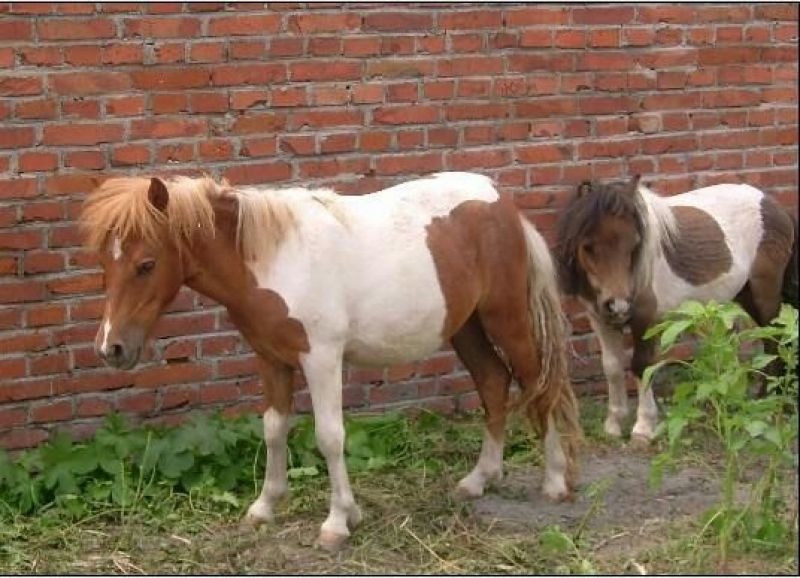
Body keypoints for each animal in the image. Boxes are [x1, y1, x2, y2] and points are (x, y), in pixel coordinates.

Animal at [81, 171, 581, 551]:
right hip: (466, 327)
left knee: (539, 386)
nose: (111, 349)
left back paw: (556, 482)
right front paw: (265, 507)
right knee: (493, 382)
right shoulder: (271, 359)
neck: (274, 259)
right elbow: (274, 429)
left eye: (146, 264)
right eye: (106, 263)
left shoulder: (320, 357)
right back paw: (479, 479)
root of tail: (501, 202)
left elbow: (329, 436)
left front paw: (339, 521)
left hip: (506, 318)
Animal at [555, 175, 797, 443]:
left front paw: (643, 428)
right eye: (588, 246)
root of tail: (773, 204)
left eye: (634, 244)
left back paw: (771, 405)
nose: (619, 304)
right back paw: (764, 401)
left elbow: (642, 366)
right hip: (747, 296)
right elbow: (612, 368)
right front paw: (613, 425)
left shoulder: (644, 319)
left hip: (765, 293)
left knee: (775, 339)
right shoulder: (599, 318)